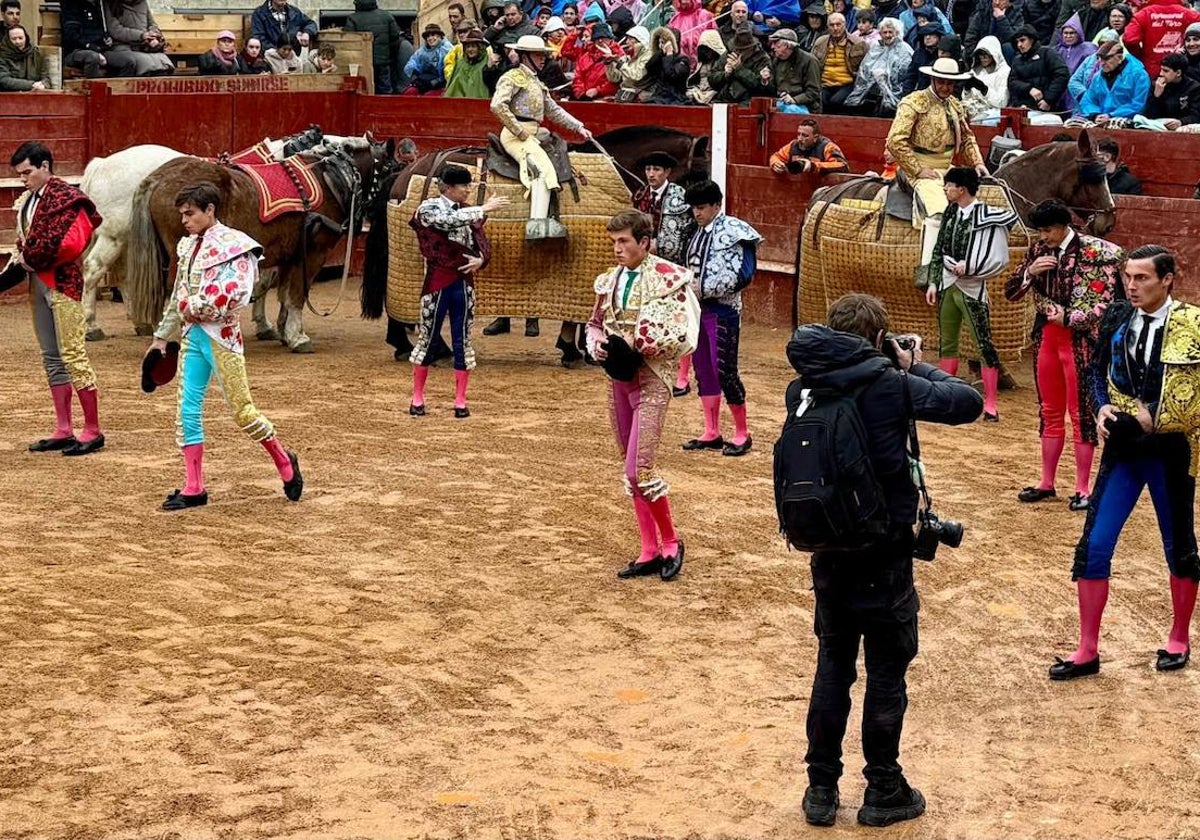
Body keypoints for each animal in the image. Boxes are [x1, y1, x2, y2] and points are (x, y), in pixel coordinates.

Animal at [127, 136, 398, 352]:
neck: (332, 180)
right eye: (392, 170)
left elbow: (284, 295)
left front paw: (284, 331)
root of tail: (157, 178)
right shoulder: (313, 253)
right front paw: (298, 337)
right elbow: (297, 295)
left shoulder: (290, 256)